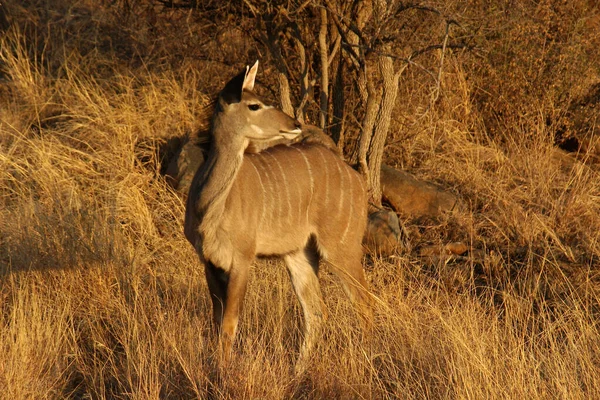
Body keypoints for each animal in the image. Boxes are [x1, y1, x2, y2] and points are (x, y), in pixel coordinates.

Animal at [184, 61, 370, 368]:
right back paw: (298, 370)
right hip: (299, 254)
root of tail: (356, 178)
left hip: (341, 248)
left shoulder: (243, 259)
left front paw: (222, 371)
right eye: (254, 105)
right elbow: (217, 321)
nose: (295, 124)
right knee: (317, 312)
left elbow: (230, 324)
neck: (210, 210)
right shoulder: (209, 262)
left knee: (365, 305)